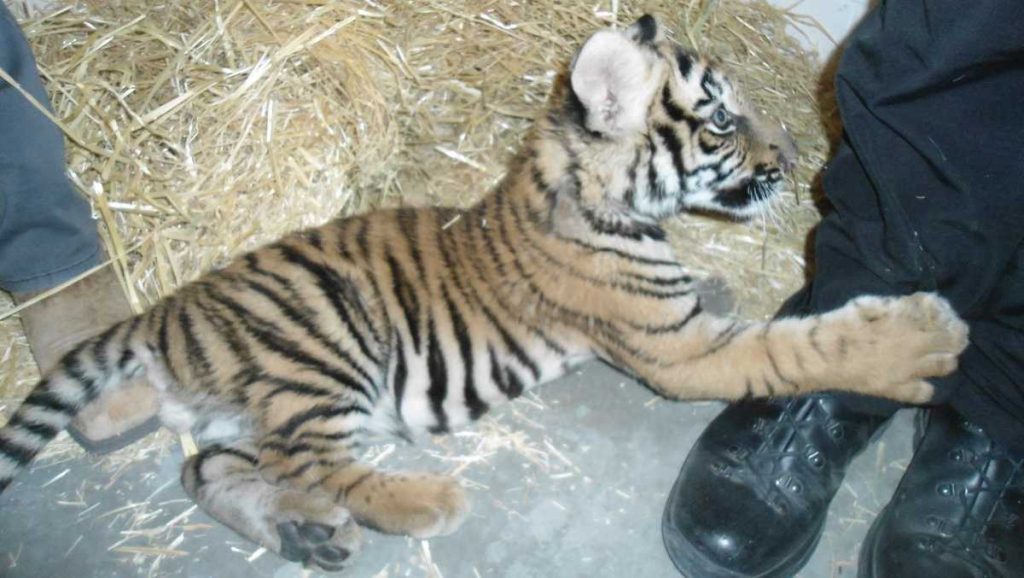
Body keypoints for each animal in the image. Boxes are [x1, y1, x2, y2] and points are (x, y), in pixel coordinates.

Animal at [0, 15, 968, 572]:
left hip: (247, 413)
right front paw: (923, 339)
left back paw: (307, 534)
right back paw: (423, 501)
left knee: (209, 468)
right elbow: (802, 346)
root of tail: (165, 312)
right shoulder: (677, 352)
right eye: (723, 120)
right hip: (325, 351)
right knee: (313, 462)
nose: (797, 160)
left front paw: (724, 281)